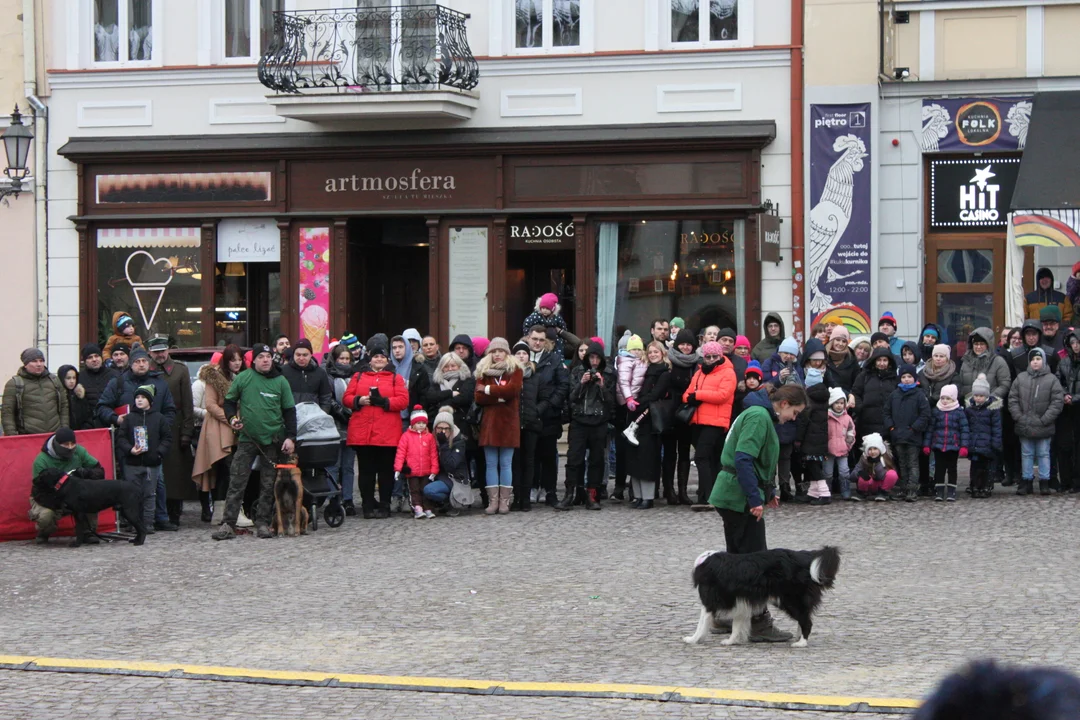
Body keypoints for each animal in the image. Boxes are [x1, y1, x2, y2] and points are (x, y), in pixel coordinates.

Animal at [682, 546, 842, 647]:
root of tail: (805, 557)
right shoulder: (740, 602)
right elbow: (737, 624)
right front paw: (732, 640)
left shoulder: (709, 602)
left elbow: (701, 624)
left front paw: (692, 639)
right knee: (804, 618)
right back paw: (799, 637)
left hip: (790, 599)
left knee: (806, 621)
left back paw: (801, 643)